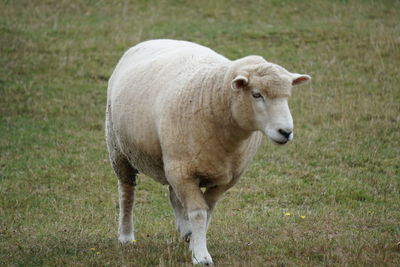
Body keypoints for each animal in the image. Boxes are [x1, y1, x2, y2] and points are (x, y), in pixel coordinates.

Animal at [104, 39, 310, 266]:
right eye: (257, 94)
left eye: (287, 96)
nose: (286, 132)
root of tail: (153, 40)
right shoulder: (184, 172)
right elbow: (199, 213)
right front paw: (201, 255)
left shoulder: (225, 178)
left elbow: (208, 211)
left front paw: (195, 242)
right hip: (119, 148)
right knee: (127, 192)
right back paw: (126, 236)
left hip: (171, 159)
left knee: (173, 195)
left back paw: (185, 231)